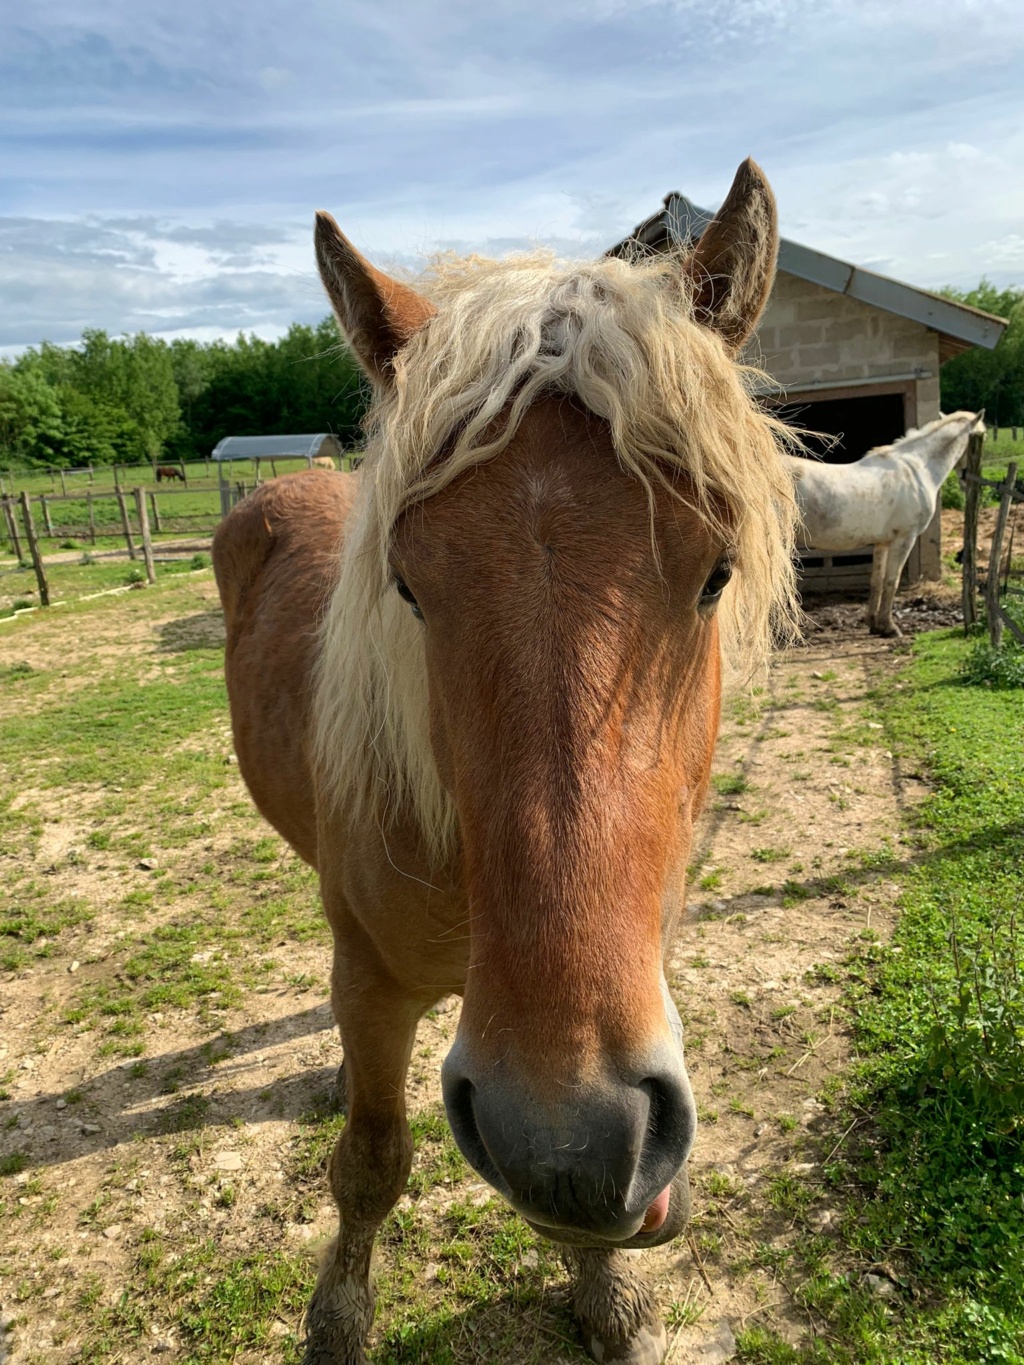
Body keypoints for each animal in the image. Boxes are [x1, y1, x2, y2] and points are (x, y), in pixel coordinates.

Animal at [212, 159, 797, 1365]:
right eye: (409, 583)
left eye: (716, 573)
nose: (565, 1134)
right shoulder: (375, 988)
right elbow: (370, 1165)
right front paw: (337, 1319)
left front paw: (605, 1292)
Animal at [786, 406, 988, 636]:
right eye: (983, 436)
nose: (969, 481)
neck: (919, 468)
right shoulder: (904, 538)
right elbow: (892, 581)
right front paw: (889, 627)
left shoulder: (882, 543)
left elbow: (877, 581)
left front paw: (873, 623)